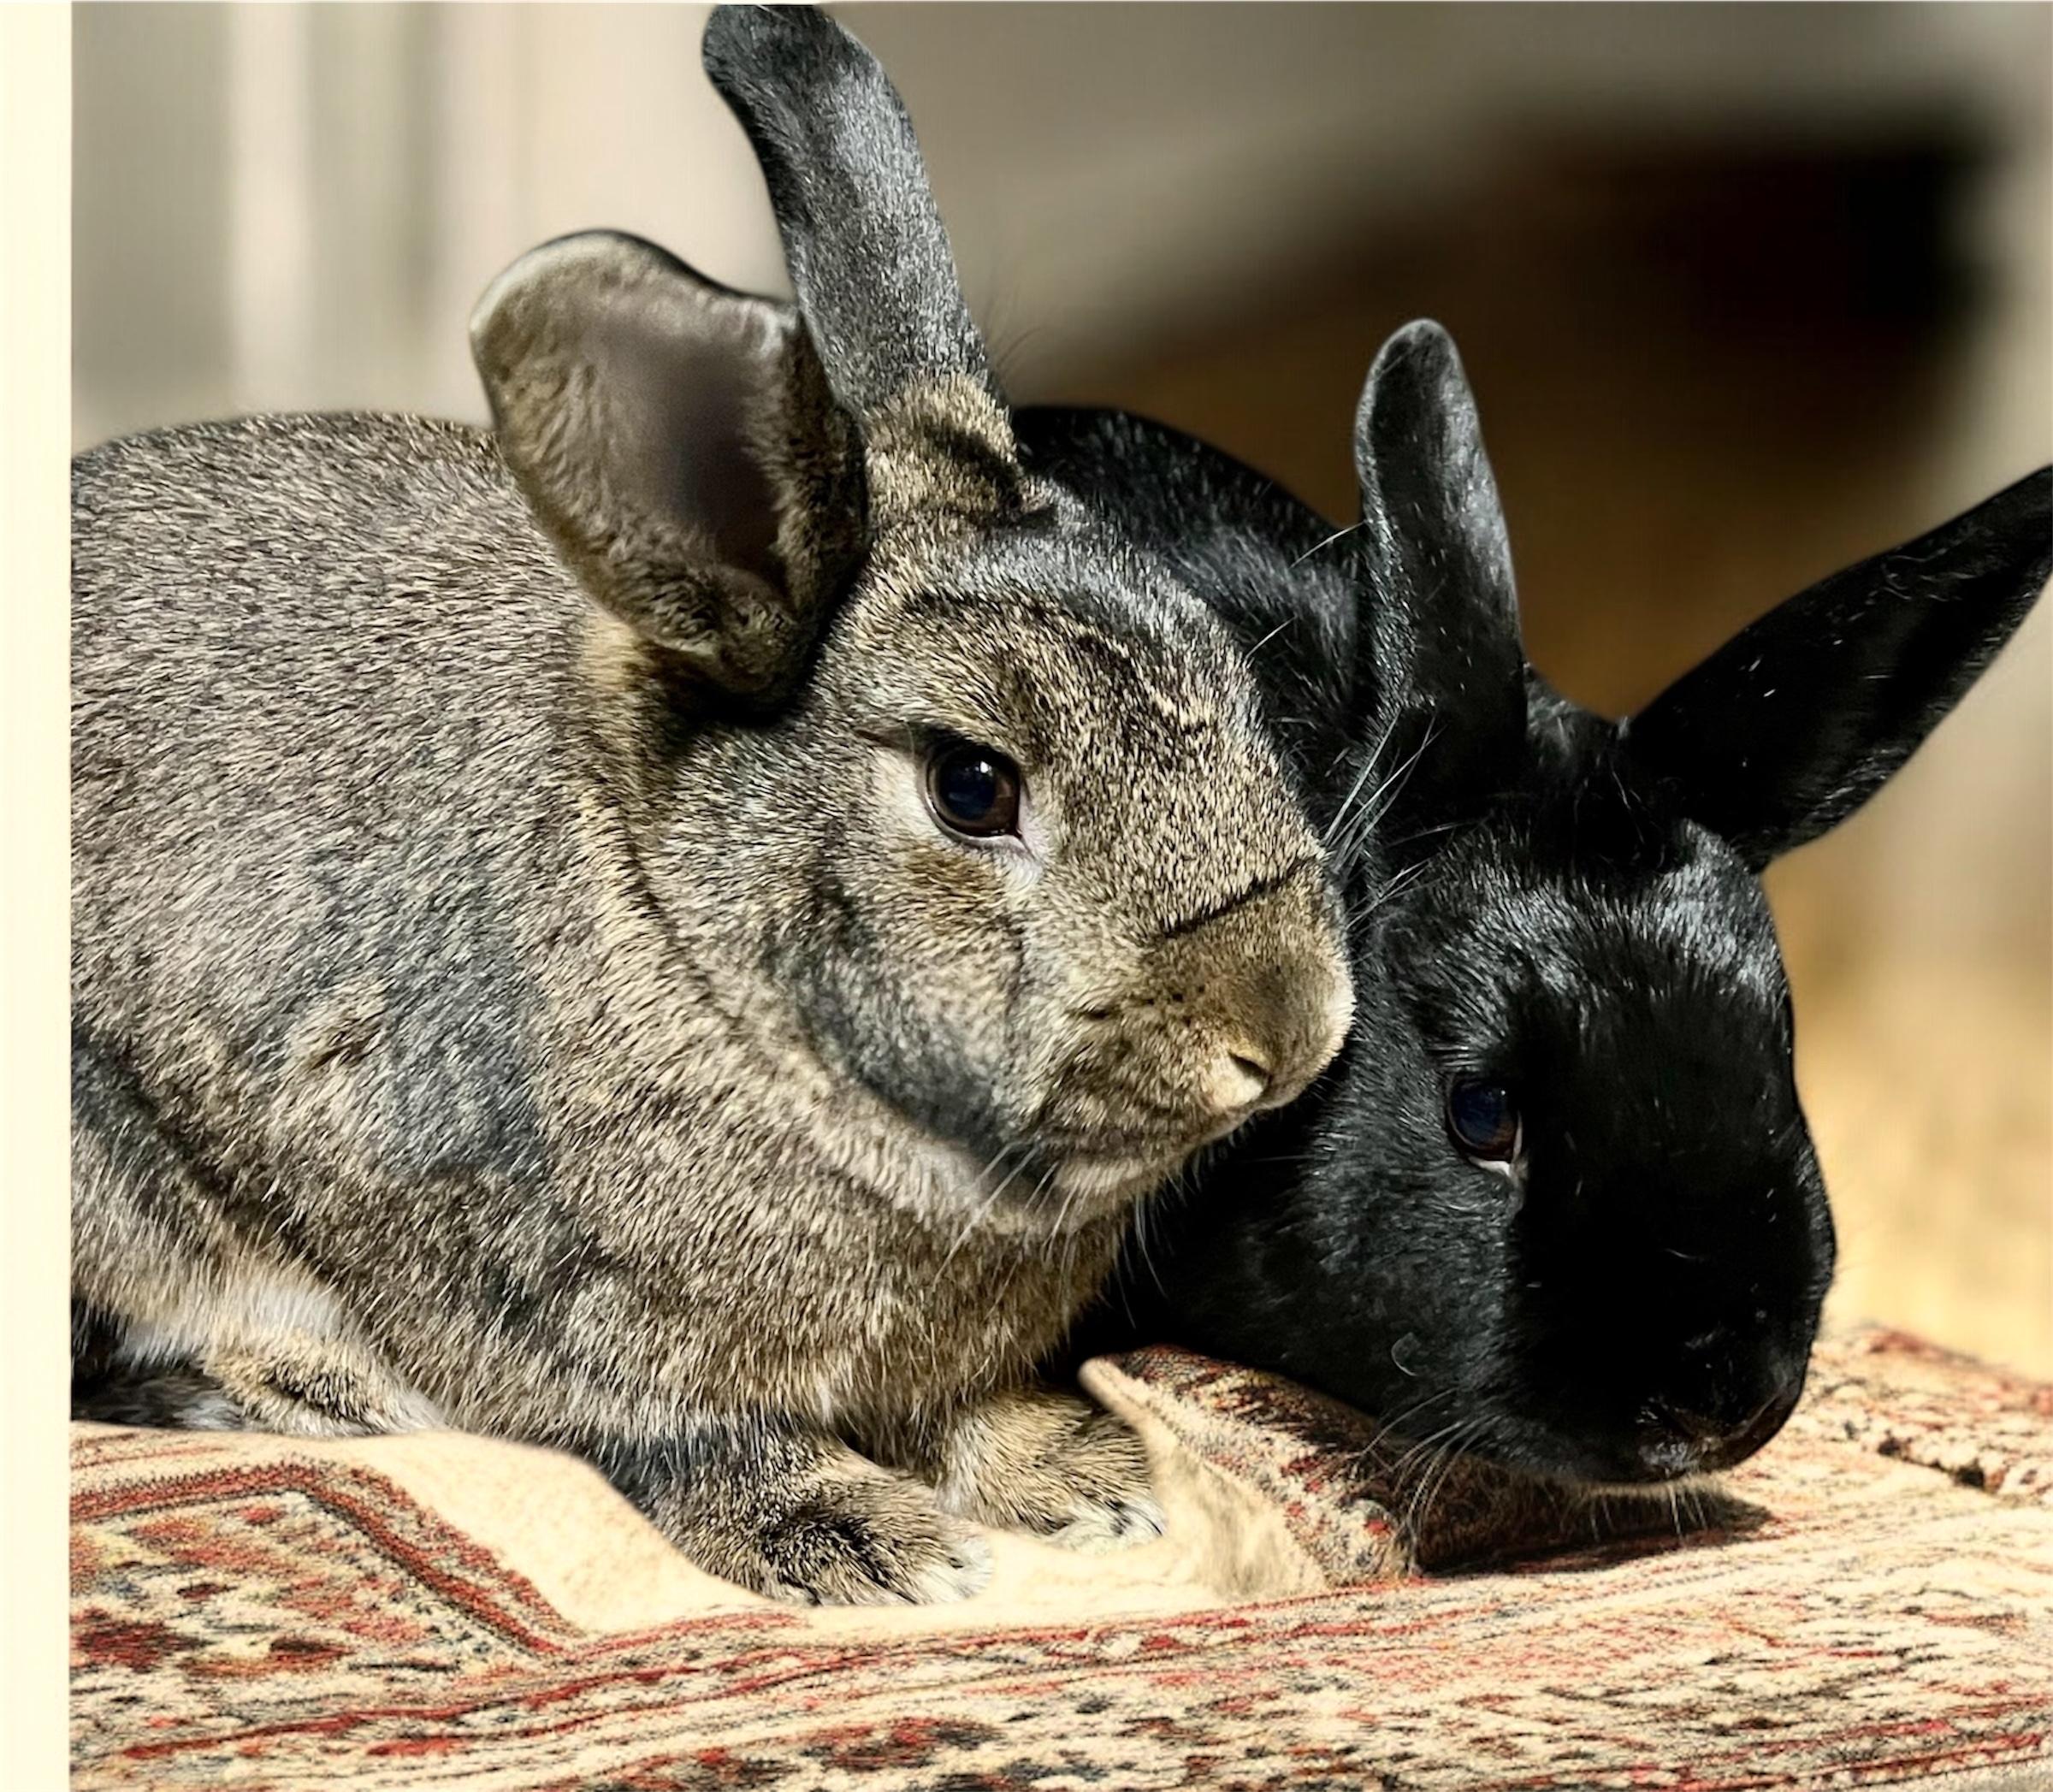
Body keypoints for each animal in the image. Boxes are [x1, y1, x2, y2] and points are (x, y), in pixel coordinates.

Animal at [68, 4, 1356, 1606]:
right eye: (973, 786)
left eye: (1231, 675)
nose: (1295, 1028)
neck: (696, 944)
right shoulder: (562, 1311)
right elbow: (697, 1444)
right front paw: (871, 1546)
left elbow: (973, 1413)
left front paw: (1088, 1480)